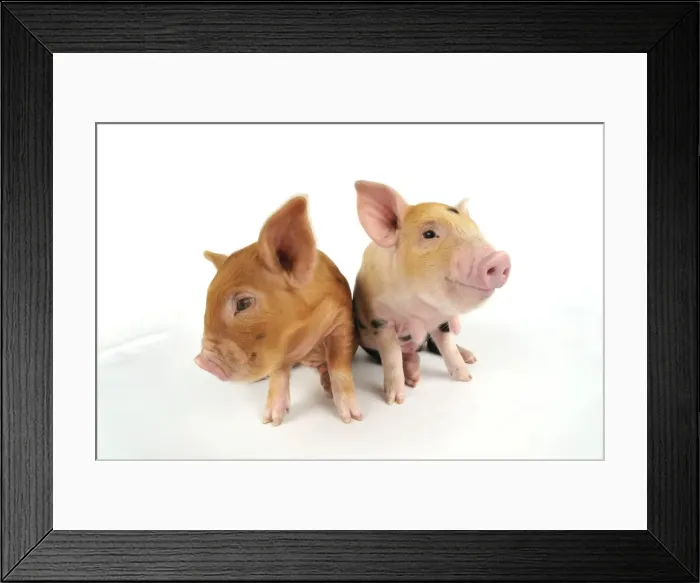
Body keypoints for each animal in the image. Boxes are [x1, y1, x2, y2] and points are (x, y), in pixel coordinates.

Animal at [194, 195, 363, 426]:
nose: (200, 361)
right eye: (207, 299)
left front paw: (353, 418)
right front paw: (271, 421)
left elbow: (339, 364)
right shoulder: (276, 347)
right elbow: (279, 373)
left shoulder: (342, 320)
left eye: (243, 303)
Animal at [351, 180, 511, 405]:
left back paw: (470, 357)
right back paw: (413, 375)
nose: (499, 258)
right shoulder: (380, 320)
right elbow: (392, 356)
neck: (422, 314)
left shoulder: (443, 320)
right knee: (405, 354)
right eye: (428, 234)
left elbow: (448, 347)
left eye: (476, 229)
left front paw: (466, 377)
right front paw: (395, 400)